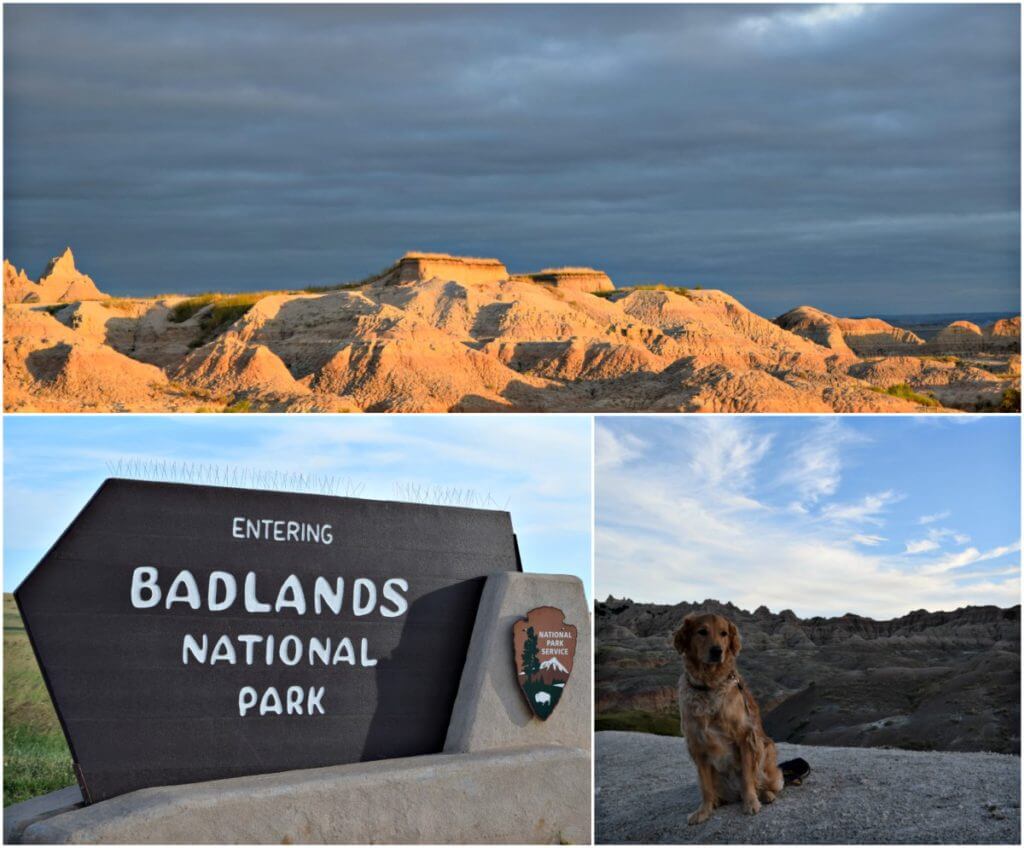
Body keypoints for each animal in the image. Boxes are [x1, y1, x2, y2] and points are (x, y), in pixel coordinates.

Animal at [671, 614, 782, 823]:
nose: (717, 651)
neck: (709, 685)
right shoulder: (697, 745)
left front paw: (751, 802)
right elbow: (705, 787)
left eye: (724, 633)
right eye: (702, 631)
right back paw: (717, 801)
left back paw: (765, 795)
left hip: (766, 748)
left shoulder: (745, 737)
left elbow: (747, 777)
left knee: (762, 781)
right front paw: (704, 811)